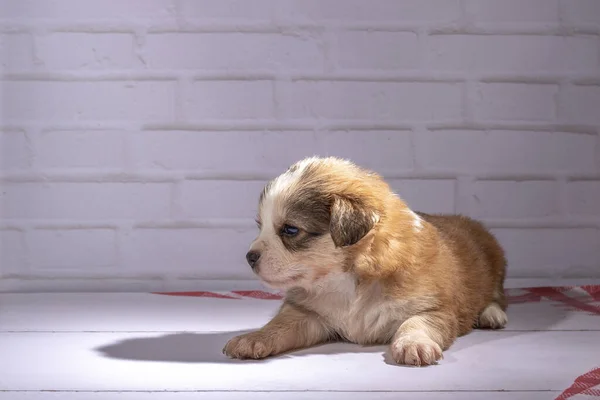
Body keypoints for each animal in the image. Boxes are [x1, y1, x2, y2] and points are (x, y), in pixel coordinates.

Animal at [221, 156, 506, 366]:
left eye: (290, 230)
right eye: (261, 226)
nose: (249, 257)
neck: (345, 280)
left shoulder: (434, 308)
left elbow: (416, 323)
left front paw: (413, 344)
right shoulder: (308, 313)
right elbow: (280, 325)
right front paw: (252, 338)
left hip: (497, 264)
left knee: (497, 296)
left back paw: (492, 315)